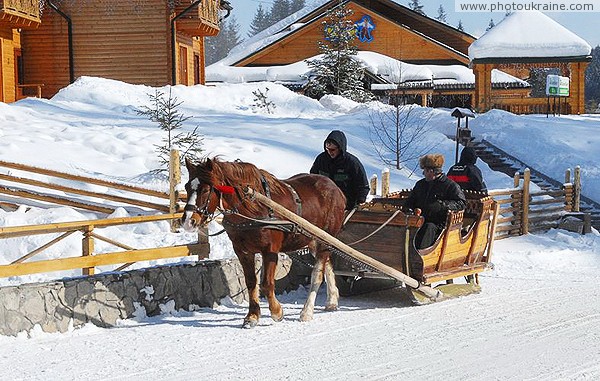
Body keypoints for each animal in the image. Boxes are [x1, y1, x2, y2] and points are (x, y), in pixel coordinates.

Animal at [180, 157, 344, 326]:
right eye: (187, 187)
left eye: (206, 190)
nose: (188, 222)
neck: (255, 208)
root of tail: (335, 188)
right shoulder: (242, 251)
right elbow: (251, 282)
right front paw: (252, 316)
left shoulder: (270, 250)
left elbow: (266, 284)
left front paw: (277, 312)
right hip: (314, 241)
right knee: (327, 264)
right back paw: (332, 300)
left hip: (325, 239)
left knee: (317, 273)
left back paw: (307, 311)